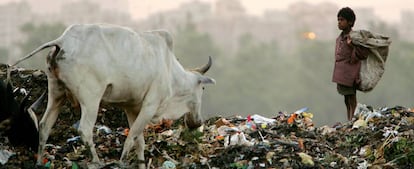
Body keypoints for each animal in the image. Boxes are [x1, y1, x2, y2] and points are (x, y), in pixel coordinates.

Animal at [11, 23, 215, 168]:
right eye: (203, 90)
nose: (197, 121)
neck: (170, 70)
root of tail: (62, 41)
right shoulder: (150, 105)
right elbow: (132, 138)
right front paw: (122, 161)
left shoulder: (132, 108)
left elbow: (139, 141)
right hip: (91, 99)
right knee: (84, 130)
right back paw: (97, 162)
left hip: (56, 93)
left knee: (44, 125)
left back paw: (39, 162)